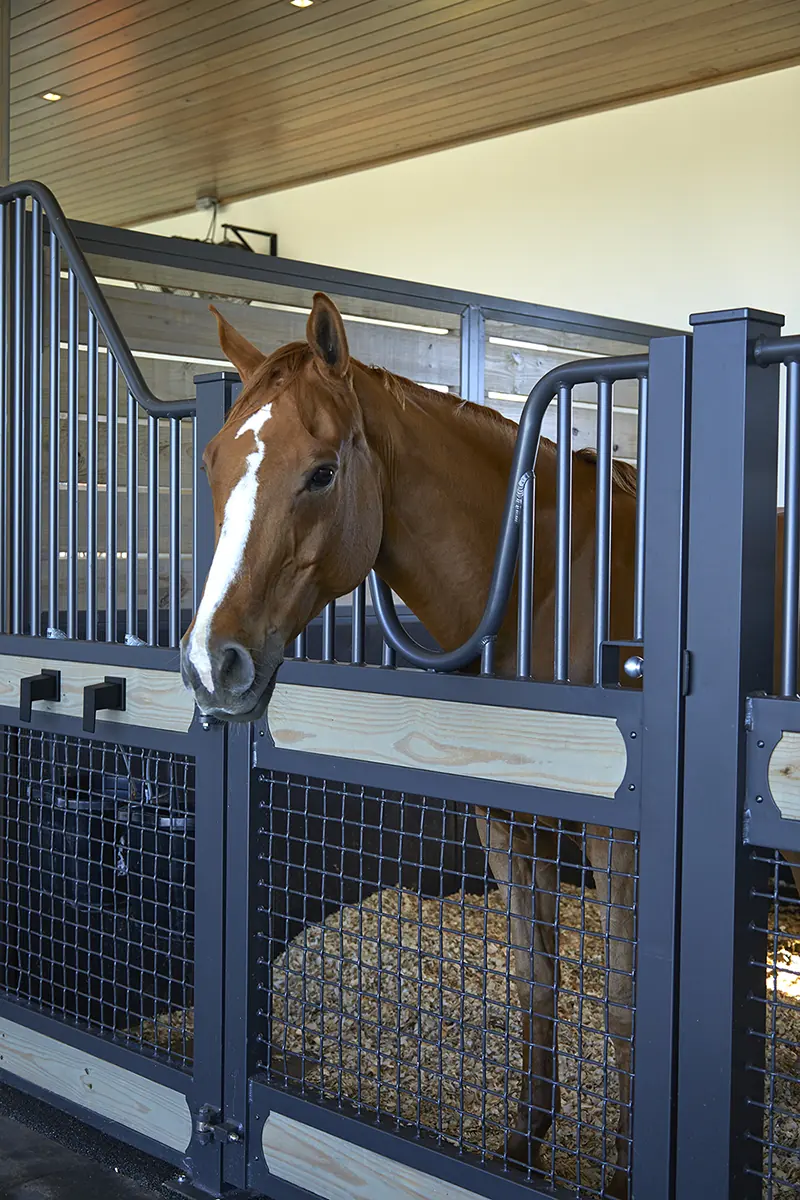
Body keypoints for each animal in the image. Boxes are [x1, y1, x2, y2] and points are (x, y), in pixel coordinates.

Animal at [179, 292, 800, 1198]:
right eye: (214, 464)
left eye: (322, 472)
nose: (208, 663)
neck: (543, 580)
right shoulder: (507, 822)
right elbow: (536, 976)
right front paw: (521, 1144)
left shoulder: (620, 836)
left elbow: (623, 995)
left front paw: (621, 1168)